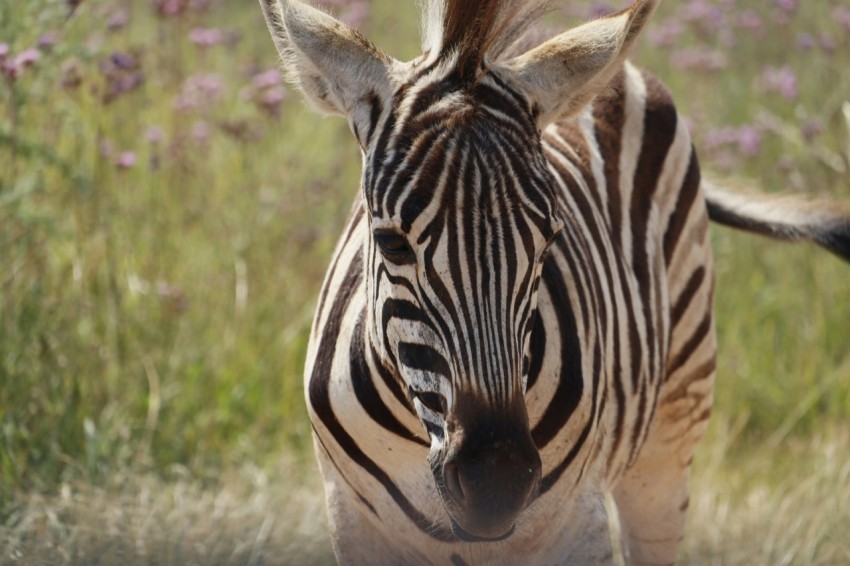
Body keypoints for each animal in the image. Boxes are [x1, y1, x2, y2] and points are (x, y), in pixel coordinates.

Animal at [258, 0, 848, 564]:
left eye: (548, 242)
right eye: (391, 243)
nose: (495, 486)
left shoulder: (575, 520)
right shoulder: (353, 519)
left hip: (672, 430)